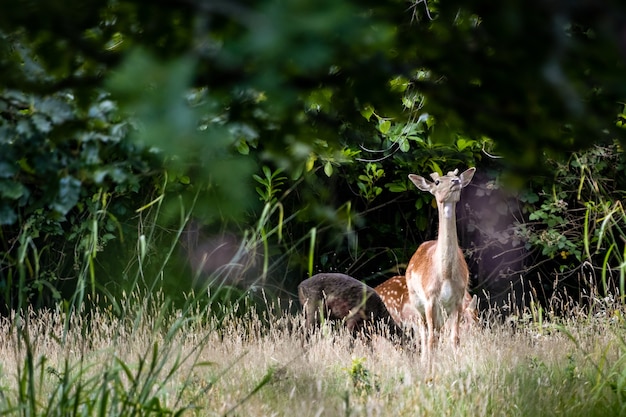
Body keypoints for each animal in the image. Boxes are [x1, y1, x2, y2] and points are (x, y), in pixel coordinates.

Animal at [402, 167, 476, 366]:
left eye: (455, 176)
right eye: (437, 182)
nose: (456, 181)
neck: (446, 274)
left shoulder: (458, 300)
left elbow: (455, 338)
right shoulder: (430, 299)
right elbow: (430, 339)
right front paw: (430, 368)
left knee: (439, 333)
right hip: (416, 301)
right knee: (424, 333)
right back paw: (423, 361)